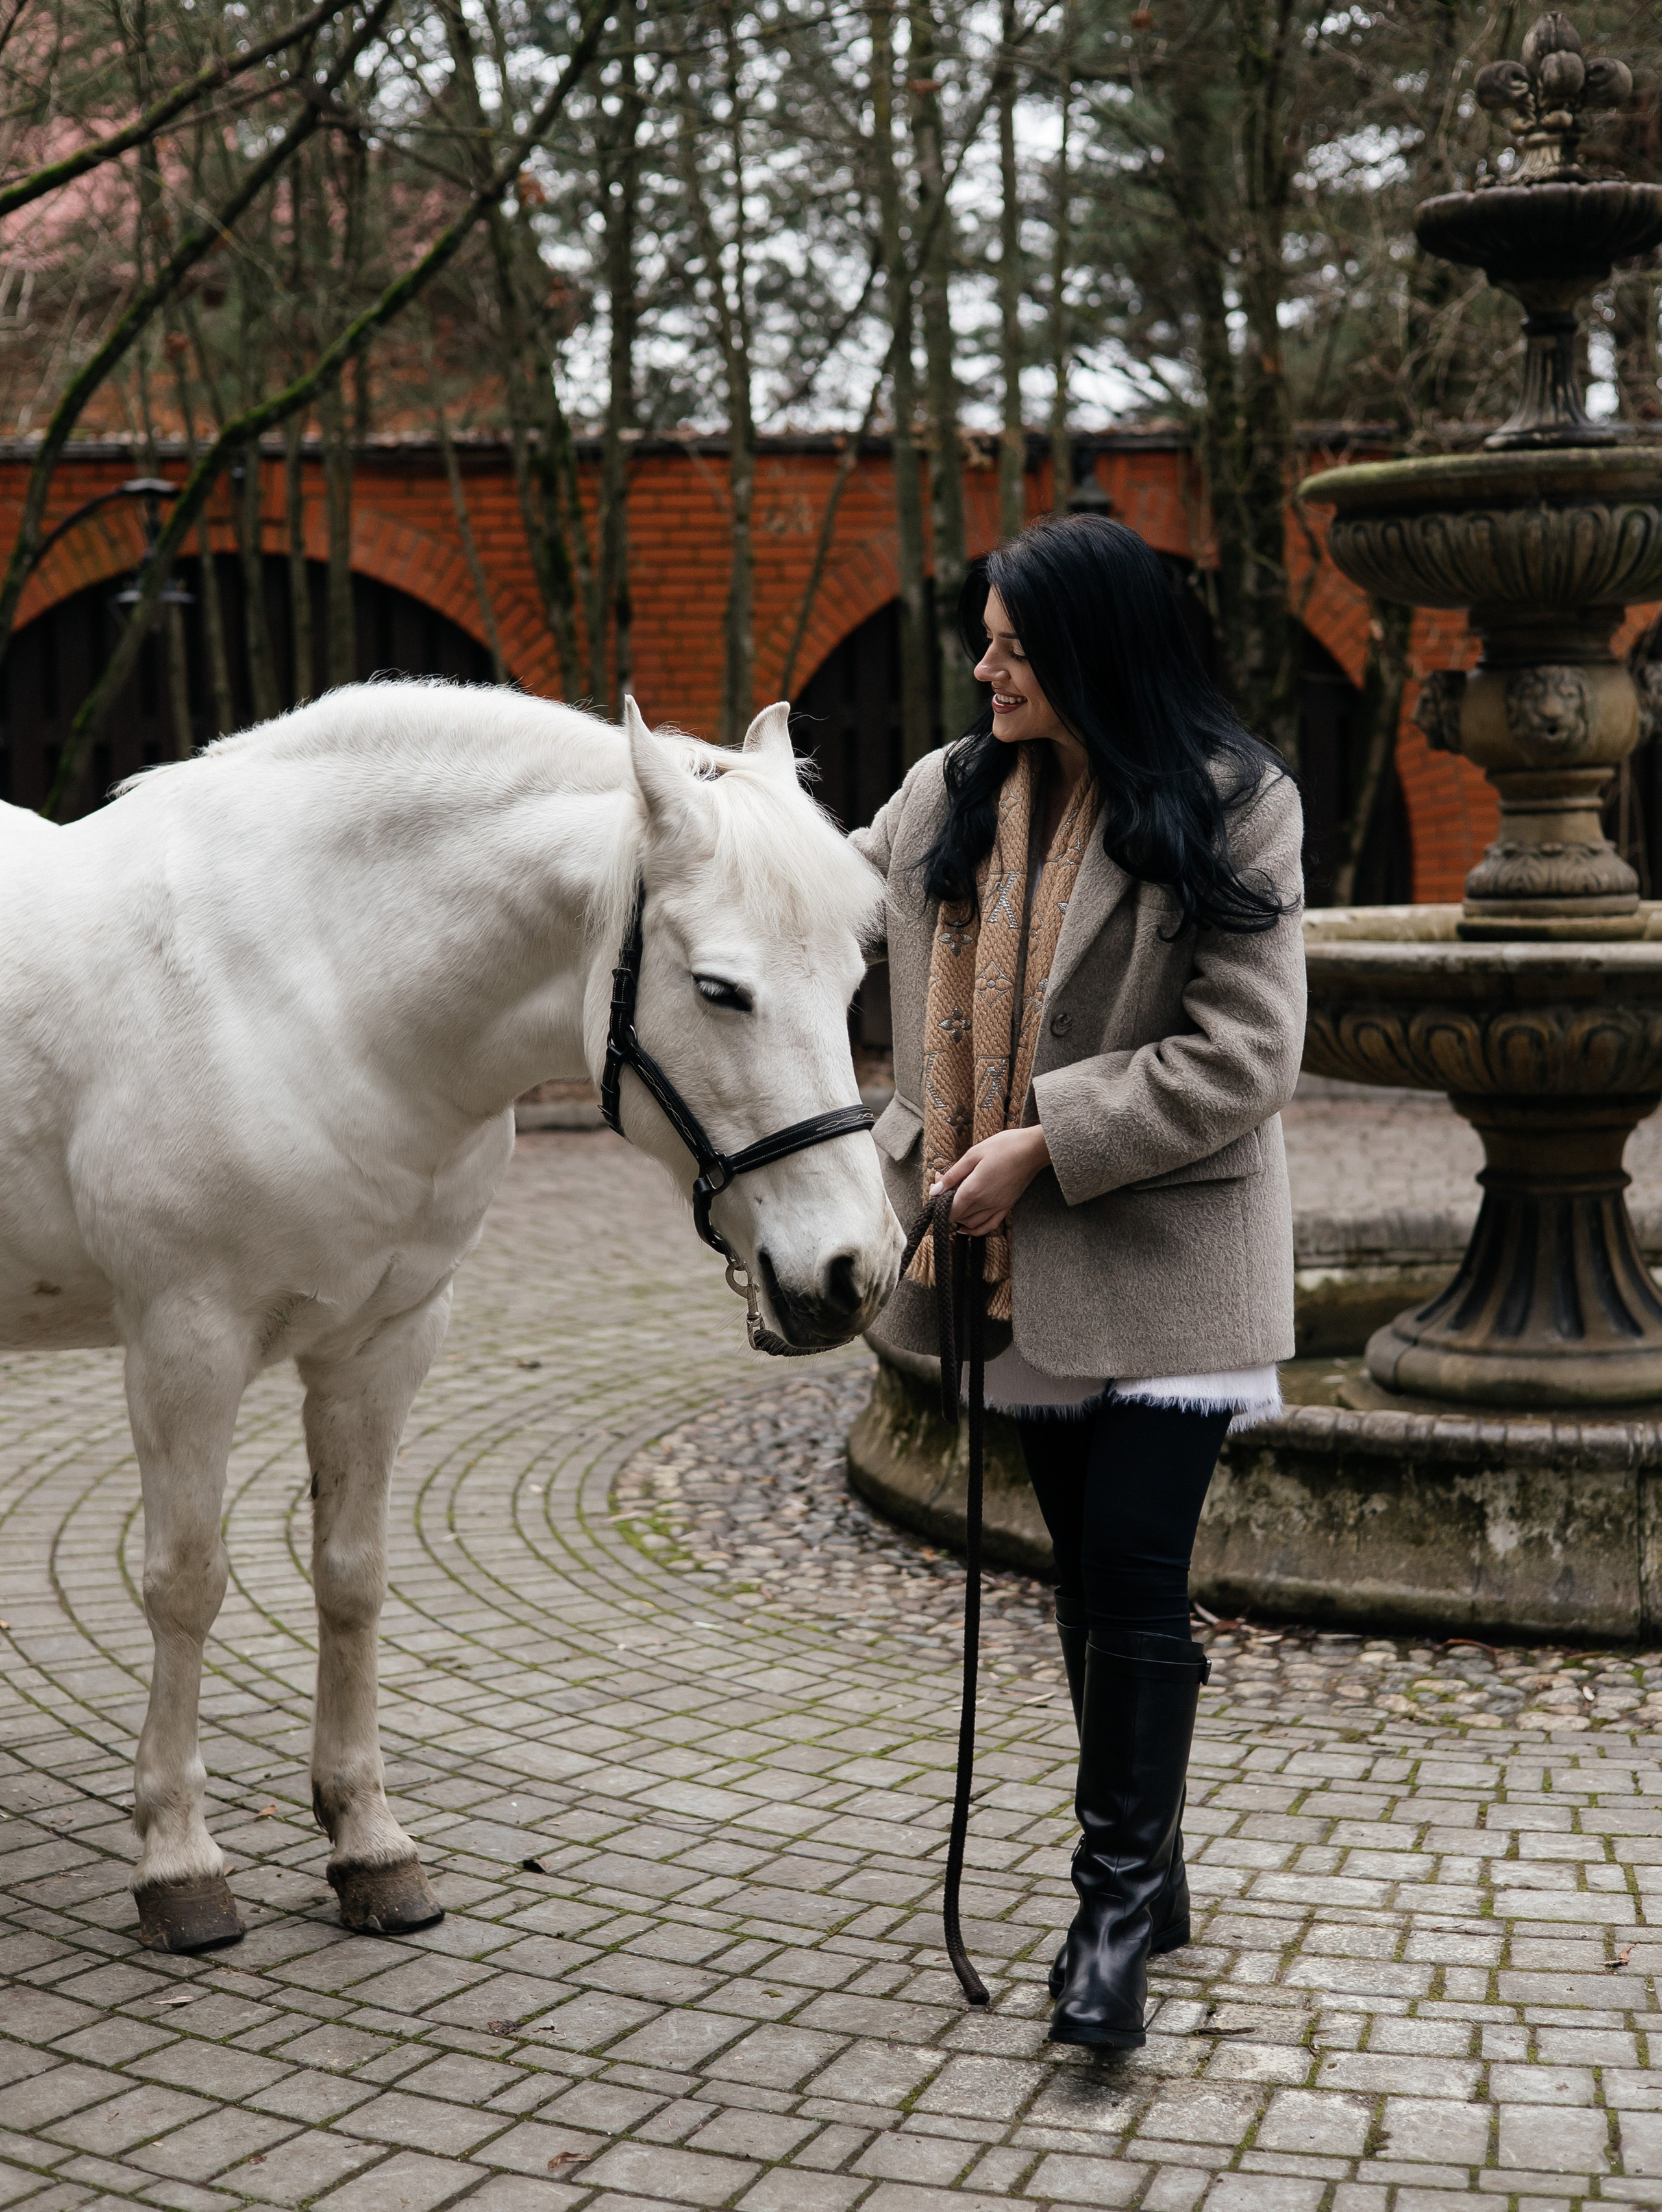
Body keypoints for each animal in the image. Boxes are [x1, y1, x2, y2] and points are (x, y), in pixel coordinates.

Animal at [0, 682, 902, 1953]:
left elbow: (352, 1575)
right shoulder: (186, 1344)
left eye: (855, 980)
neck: (308, 991)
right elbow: (186, 1583)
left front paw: (369, 1842)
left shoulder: (385, 1344)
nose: (852, 1272)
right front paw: (178, 1859)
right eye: (721, 989)